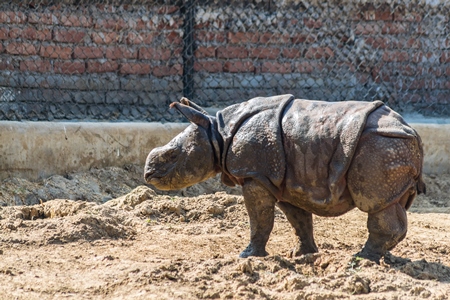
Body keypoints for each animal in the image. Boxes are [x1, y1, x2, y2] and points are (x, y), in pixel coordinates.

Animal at [145, 94, 426, 262]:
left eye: (172, 156)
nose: (148, 174)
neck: (218, 133)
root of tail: (413, 133)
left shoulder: (255, 175)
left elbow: (260, 219)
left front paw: (247, 257)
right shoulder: (282, 181)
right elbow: (298, 219)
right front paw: (302, 254)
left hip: (380, 146)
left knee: (375, 202)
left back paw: (362, 258)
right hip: (389, 146)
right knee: (391, 202)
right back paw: (377, 257)